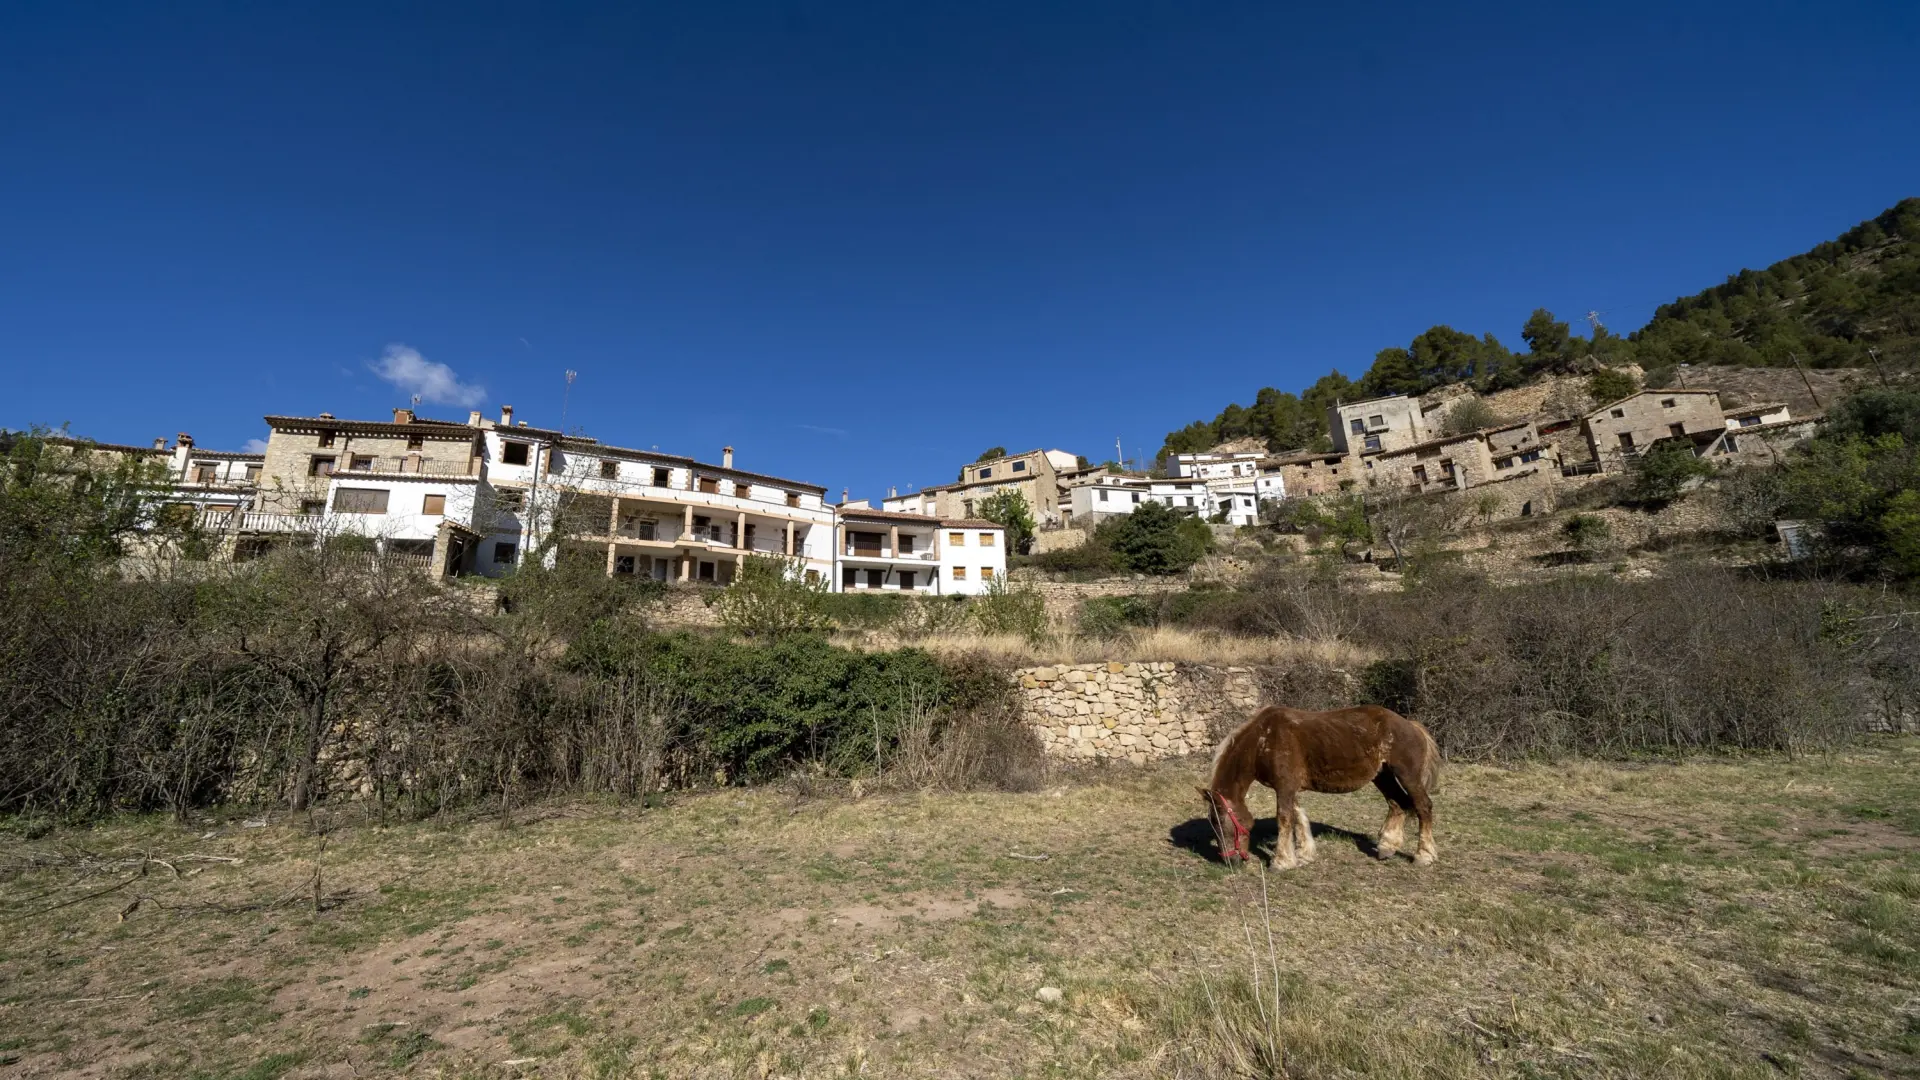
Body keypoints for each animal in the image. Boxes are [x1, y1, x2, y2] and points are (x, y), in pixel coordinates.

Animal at [1198, 707, 1443, 864]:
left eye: (1221, 823)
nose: (1230, 862)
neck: (1263, 740)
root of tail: (1411, 725)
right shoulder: (1290, 788)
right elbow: (1298, 817)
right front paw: (1303, 854)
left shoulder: (1285, 788)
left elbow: (1284, 818)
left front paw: (1282, 861)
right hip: (1383, 776)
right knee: (1397, 804)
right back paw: (1387, 847)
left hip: (1407, 776)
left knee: (1423, 806)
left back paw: (1424, 856)